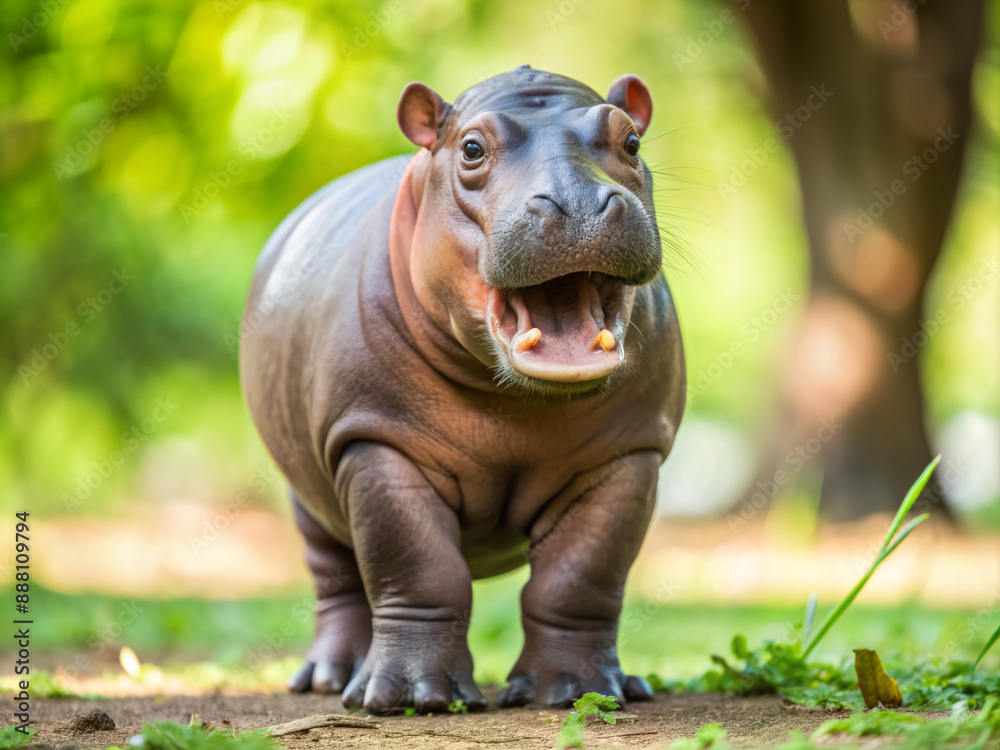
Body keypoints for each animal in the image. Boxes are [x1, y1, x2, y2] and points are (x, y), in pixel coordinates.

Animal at [239, 65, 685, 713]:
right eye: (472, 149)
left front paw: (573, 692)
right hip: (309, 494)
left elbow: (580, 577)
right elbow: (418, 568)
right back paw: (329, 678)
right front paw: (411, 698)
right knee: (336, 575)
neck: (513, 398)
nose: (578, 202)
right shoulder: (376, 442)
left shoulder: (627, 452)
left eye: (630, 140)